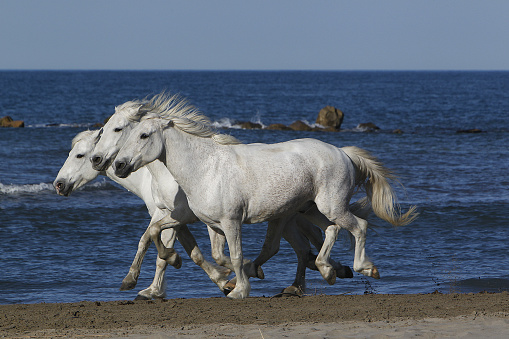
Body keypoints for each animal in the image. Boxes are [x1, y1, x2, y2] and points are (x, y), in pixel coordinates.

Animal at [54, 129, 230, 298]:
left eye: (80, 155)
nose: (59, 184)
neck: (152, 178)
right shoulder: (174, 220)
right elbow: (192, 252)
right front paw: (223, 281)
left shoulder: (171, 217)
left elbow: (159, 252)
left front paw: (151, 289)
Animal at [114, 95, 416, 300]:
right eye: (127, 135)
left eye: (144, 135)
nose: (118, 165)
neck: (206, 168)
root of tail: (343, 153)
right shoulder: (208, 223)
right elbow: (186, 243)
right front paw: (173, 260)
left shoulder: (231, 221)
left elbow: (236, 256)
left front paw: (239, 289)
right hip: (312, 209)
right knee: (329, 232)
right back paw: (326, 270)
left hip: (331, 206)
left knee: (357, 227)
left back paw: (364, 268)